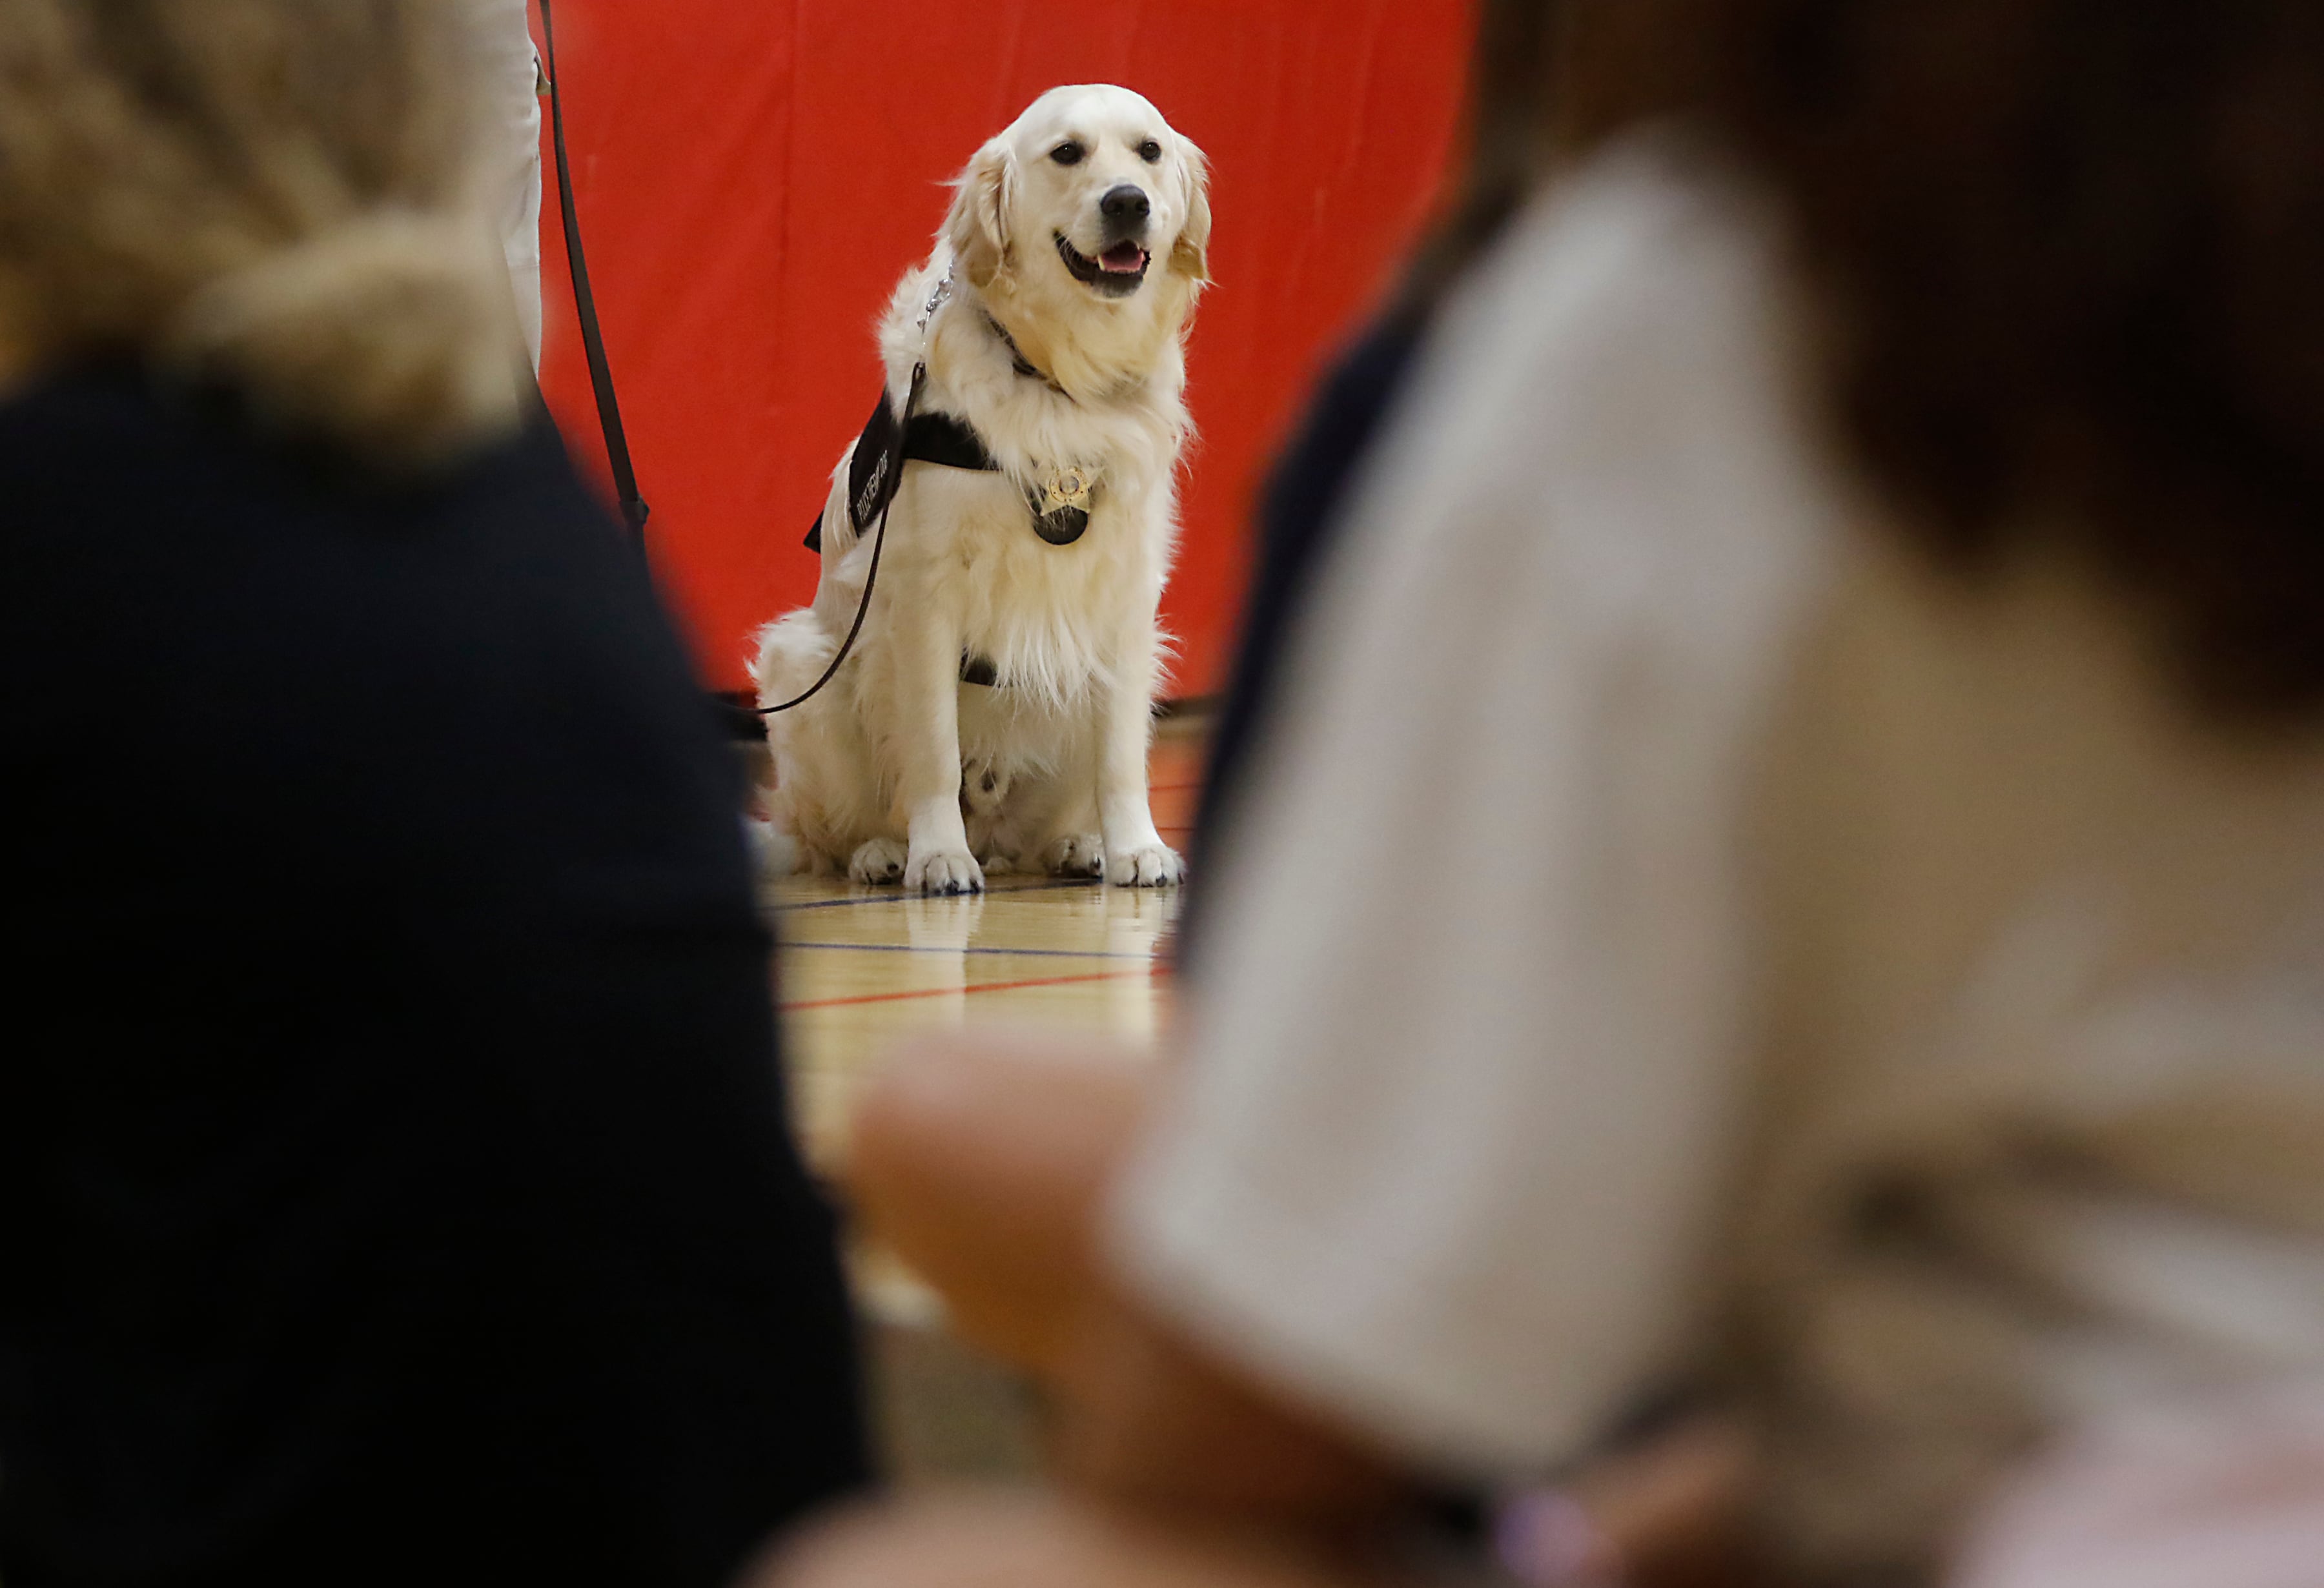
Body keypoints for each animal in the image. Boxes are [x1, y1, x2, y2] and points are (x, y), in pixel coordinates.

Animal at [748, 87, 1218, 893]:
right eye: (1067, 153)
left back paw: (1077, 844)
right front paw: (939, 854)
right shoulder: (925, 597)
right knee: (829, 835)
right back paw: (884, 853)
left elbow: (1122, 756)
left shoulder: (1126, 595)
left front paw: (1136, 845)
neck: (1062, 378)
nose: (1128, 201)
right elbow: (932, 747)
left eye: (1149, 152)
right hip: (805, 665)